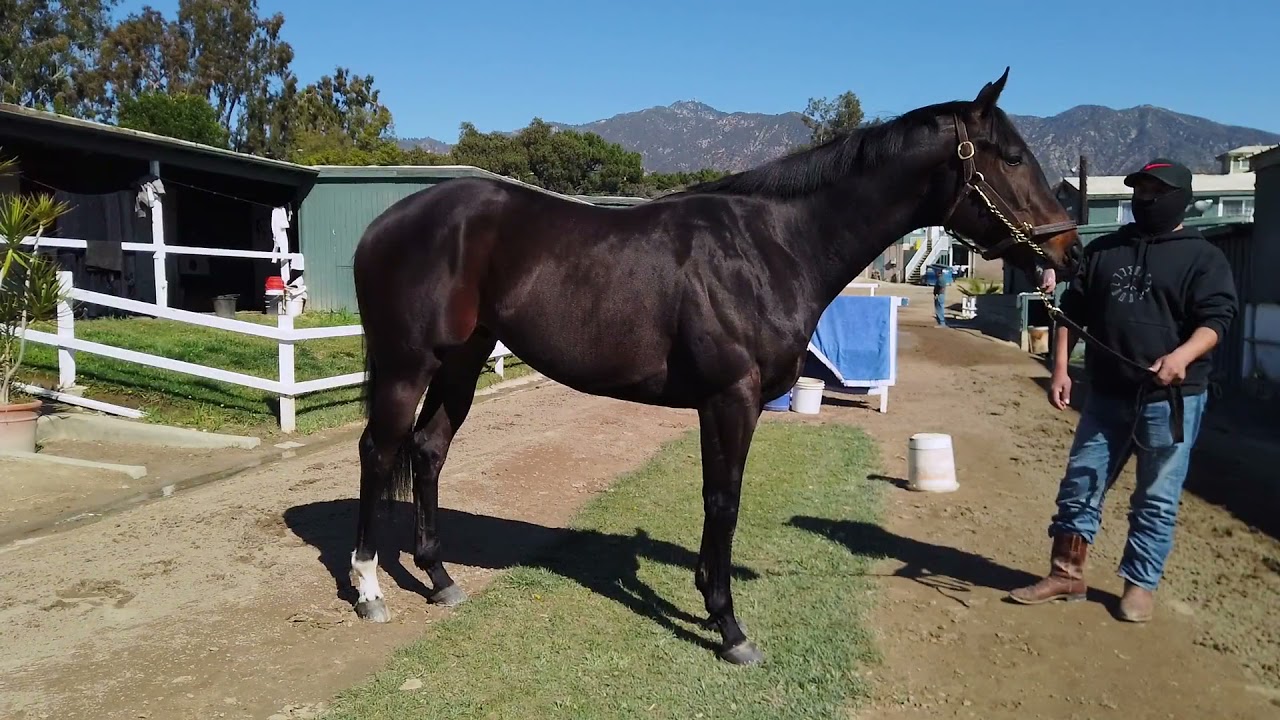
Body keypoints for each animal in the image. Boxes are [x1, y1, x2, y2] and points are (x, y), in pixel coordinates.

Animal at [346, 67, 1082, 665]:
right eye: (1012, 157)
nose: (1069, 251)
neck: (772, 246)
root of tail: (382, 225)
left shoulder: (719, 403)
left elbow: (714, 498)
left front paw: (710, 602)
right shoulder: (732, 397)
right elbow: (724, 501)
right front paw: (730, 629)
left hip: (464, 361)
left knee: (429, 449)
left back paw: (440, 579)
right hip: (408, 365)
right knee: (380, 452)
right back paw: (368, 588)